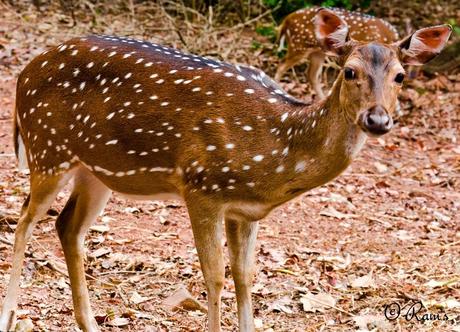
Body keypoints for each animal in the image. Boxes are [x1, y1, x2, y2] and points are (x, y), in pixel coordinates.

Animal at [0, 7, 452, 332]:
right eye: (349, 71)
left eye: (400, 76)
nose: (377, 120)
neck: (275, 153)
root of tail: (24, 73)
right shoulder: (202, 186)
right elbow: (214, 276)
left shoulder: (244, 210)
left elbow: (246, 276)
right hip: (47, 149)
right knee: (23, 222)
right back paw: (10, 315)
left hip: (95, 170)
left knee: (67, 226)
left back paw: (89, 323)